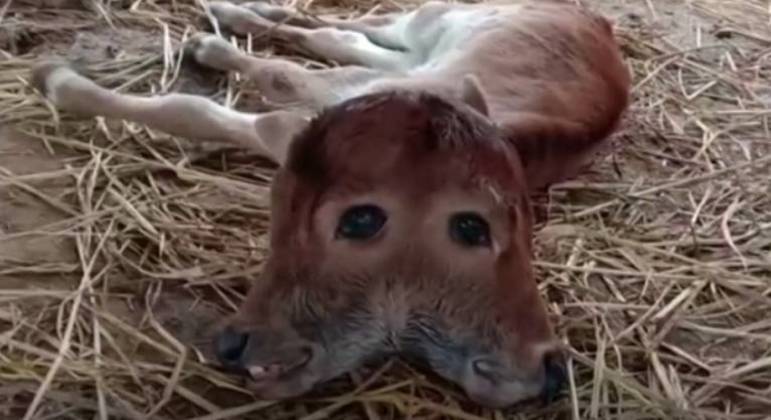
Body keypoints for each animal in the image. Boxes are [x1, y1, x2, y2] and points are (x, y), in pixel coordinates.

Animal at [33, 0, 632, 406]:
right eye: (471, 227)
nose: (548, 373)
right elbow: (221, 99)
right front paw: (60, 81)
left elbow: (239, 102)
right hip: (430, 23)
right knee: (349, 32)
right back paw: (227, 23)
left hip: (421, 41)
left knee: (343, 38)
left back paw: (223, 31)